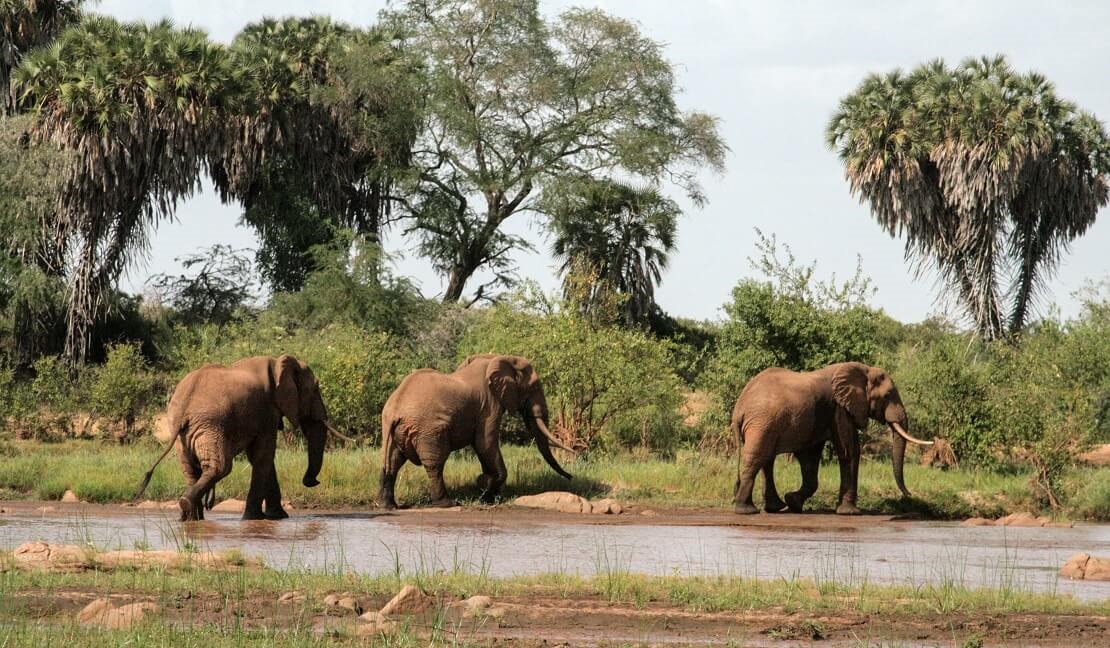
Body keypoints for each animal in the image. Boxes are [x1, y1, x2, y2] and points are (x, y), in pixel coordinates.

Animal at [134, 355, 335, 521]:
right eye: (315, 388)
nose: (313, 482)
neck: (277, 363)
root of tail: (184, 404)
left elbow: (260, 458)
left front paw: (277, 517)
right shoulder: (267, 411)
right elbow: (263, 457)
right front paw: (257, 519)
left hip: (183, 431)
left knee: (191, 469)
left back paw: (191, 517)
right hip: (210, 424)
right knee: (221, 467)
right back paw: (189, 508)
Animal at [379, 352, 577, 508]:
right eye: (535, 386)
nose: (571, 477)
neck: (498, 358)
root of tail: (394, 409)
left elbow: (483, 447)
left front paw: (486, 489)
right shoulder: (489, 405)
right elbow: (485, 443)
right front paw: (485, 490)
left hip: (396, 431)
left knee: (391, 462)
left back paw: (388, 506)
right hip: (427, 430)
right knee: (434, 463)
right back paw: (447, 503)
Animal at [732, 359, 932, 517]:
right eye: (887, 395)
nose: (909, 494)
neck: (864, 370)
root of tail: (739, 408)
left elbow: (810, 458)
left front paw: (793, 502)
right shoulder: (840, 409)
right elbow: (849, 450)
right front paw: (850, 512)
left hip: (765, 424)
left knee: (767, 460)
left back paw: (775, 508)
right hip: (761, 423)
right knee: (756, 458)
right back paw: (746, 510)